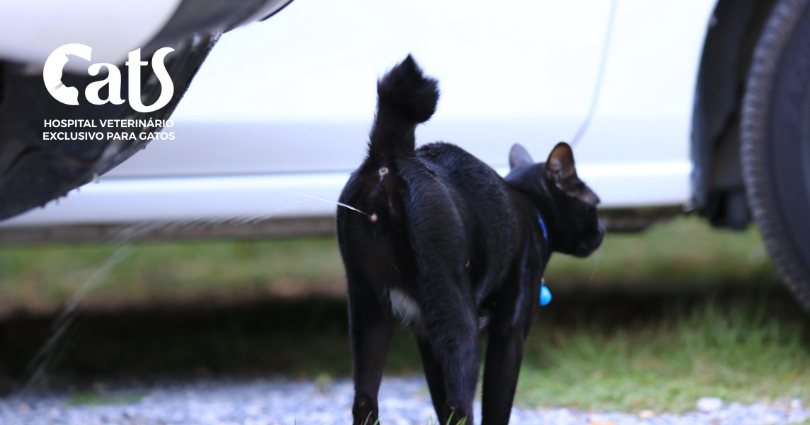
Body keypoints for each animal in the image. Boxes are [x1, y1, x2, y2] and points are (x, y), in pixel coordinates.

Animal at [332, 56, 600, 424]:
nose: (602, 230)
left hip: (367, 308)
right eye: (595, 205)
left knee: (365, 399)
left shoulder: (425, 334)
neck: (530, 206)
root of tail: (392, 155)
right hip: (455, 309)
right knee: (460, 401)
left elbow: (437, 394)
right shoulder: (509, 330)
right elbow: (496, 401)